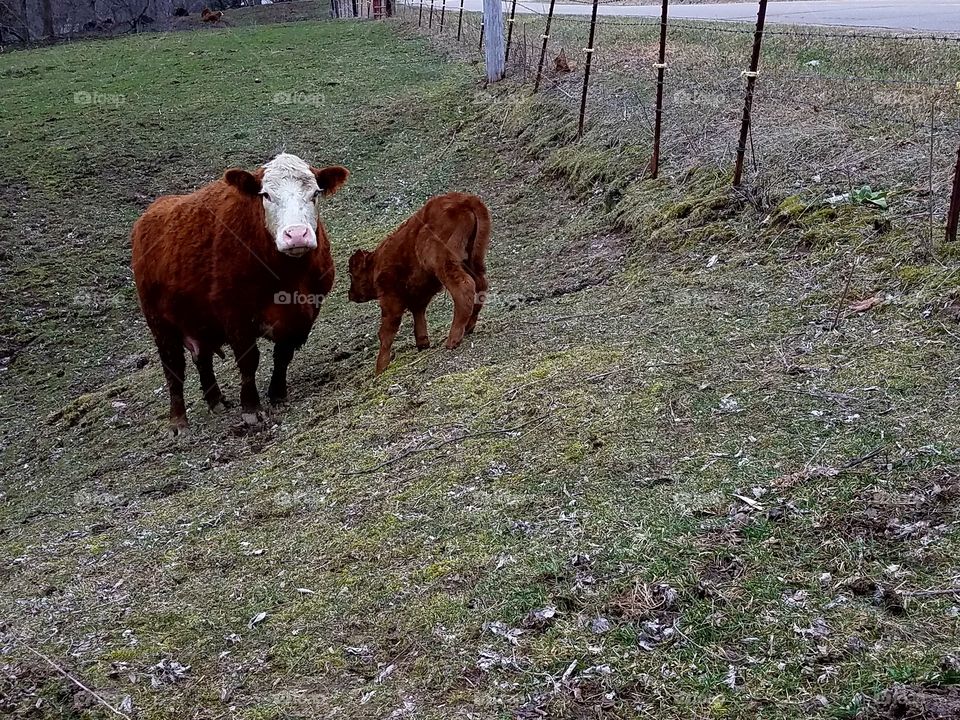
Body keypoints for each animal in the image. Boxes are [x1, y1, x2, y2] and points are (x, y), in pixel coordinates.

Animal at [131, 154, 349, 434]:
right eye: (266, 195)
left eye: (315, 193)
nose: (296, 235)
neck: (287, 277)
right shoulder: (235, 315)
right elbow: (249, 361)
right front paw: (251, 409)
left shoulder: (304, 312)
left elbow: (283, 354)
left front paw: (277, 394)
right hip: (160, 324)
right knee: (174, 368)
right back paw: (178, 421)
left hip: (198, 321)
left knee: (202, 358)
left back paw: (216, 401)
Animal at [347, 192, 491, 374]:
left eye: (352, 274)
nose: (350, 294)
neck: (376, 262)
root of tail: (465, 199)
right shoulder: (418, 293)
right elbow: (418, 315)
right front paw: (423, 344)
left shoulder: (390, 298)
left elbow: (386, 331)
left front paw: (380, 367)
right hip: (473, 260)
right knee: (480, 285)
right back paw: (468, 327)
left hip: (444, 263)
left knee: (464, 288)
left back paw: (453, 340)